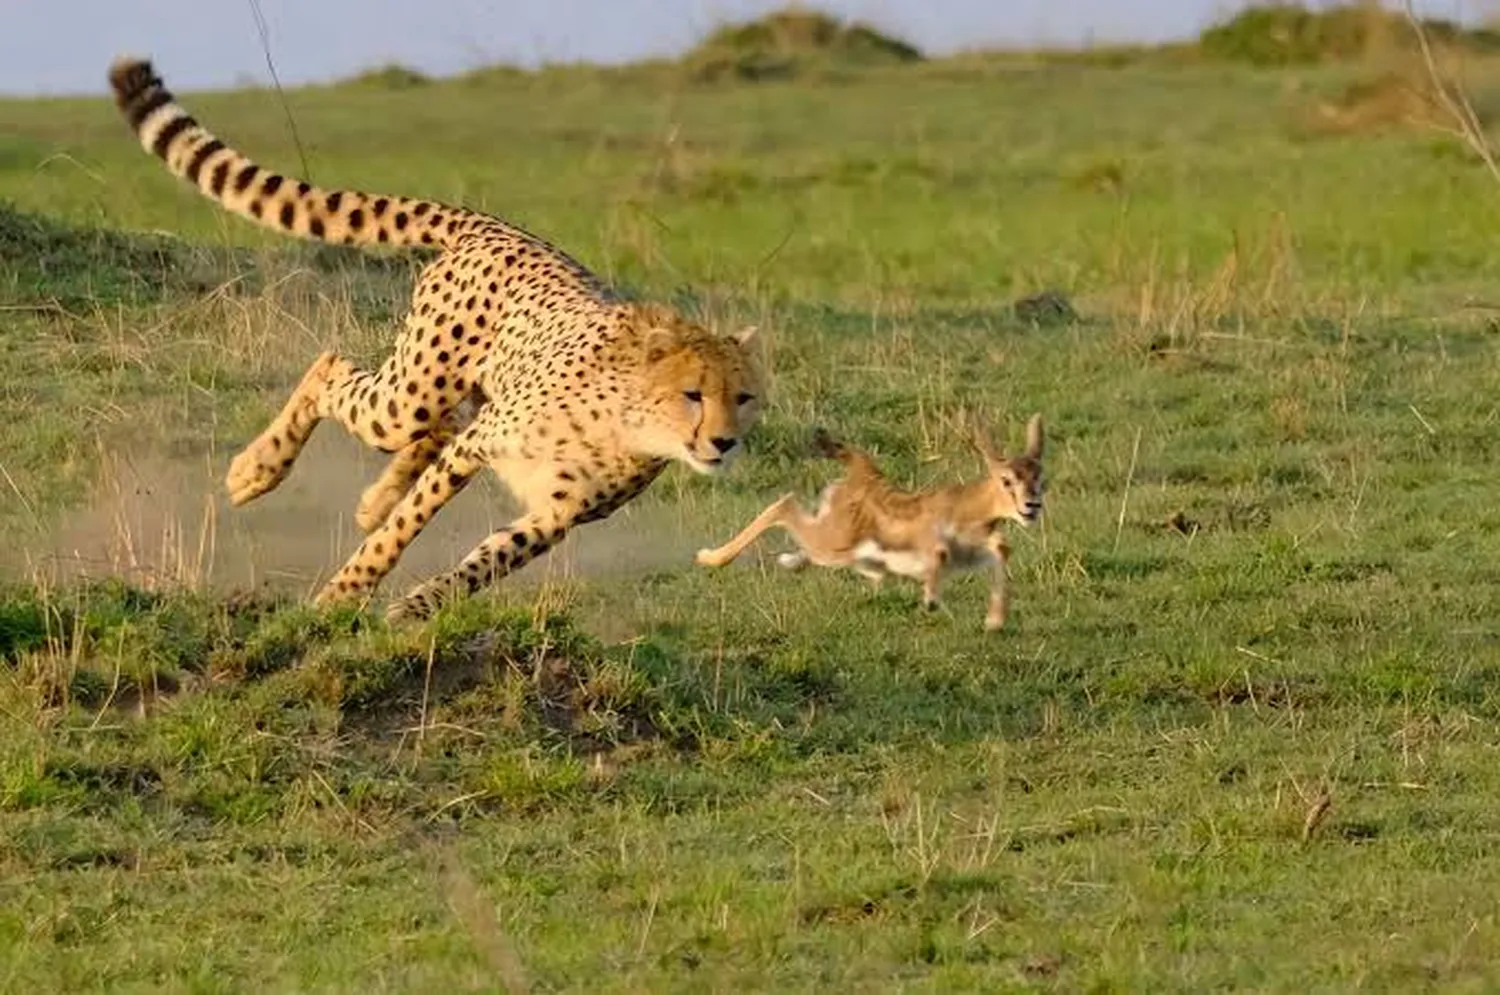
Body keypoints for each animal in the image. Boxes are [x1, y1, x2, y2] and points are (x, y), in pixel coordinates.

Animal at [107, 56, 763, 621]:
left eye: (744, 398)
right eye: (693, 395)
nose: (725, 442)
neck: (626, 421)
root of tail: (497, 227)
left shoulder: (555, 515)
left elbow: (484, 563)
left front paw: (418, 606)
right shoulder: (478, 449)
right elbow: (407, 527)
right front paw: (344, 595)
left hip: (463, 393)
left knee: (426, 423)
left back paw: (372, 498)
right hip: (411, 395)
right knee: (334, 369)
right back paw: (258, 470)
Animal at [695, 415, 1045, 631]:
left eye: (1041, 478)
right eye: (1006, 480)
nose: (1032, 506)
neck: (963, 510)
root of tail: (862, 470)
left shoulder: (978, 552)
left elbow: (1002, 549)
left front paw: (994, 621)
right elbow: (940, 553)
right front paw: (931, 599)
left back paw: (788, 561)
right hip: (831, 543)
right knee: (785, 504)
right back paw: (708, 557)